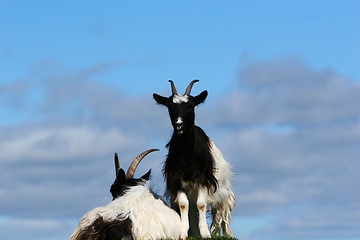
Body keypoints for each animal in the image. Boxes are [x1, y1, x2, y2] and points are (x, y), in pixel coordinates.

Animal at [153, 80, 235, 238]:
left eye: (190, 106)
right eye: (170, 107)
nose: (179, 124)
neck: (187, 155)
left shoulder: (203, 179)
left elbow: (201, 204)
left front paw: (205, 233)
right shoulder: (177, 180)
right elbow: (184, 205)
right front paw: (183, 233)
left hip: (222, 191)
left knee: (221, 212)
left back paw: (223, 233)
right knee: (190, 207)